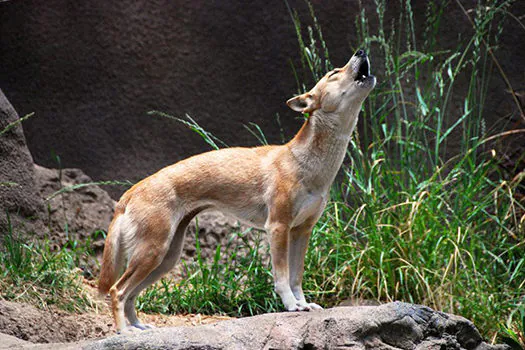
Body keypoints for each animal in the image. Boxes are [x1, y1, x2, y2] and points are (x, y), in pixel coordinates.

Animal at [98, 50, 374, 334]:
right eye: (333, 73)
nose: (361, 51)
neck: (305, 164)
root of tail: (131, 192)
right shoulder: (278, 227)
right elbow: (282, 278)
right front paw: (292, 306)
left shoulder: (302, 230)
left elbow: (297, 278)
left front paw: (304, 304)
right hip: (152, 252)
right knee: (117, 290)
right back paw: (124, 332)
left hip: (165, 257)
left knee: (130, 294)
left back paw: (139, 327)